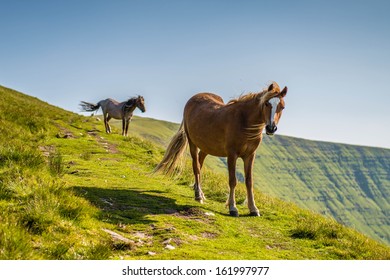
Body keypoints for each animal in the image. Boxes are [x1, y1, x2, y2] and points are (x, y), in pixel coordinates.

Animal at [155, 81, 286, 217]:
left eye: (282, 107)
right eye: (267, 104)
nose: (271, 128)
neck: (244, 121)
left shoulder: (250, 155)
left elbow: (249, 181)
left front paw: (253, 208)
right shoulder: (232, 155)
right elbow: (233, 180)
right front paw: (233, 207)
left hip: (206, 147)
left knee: (200, 163)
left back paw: (199, 192)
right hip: (193, 144)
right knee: (196, 167)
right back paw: (198, 195)